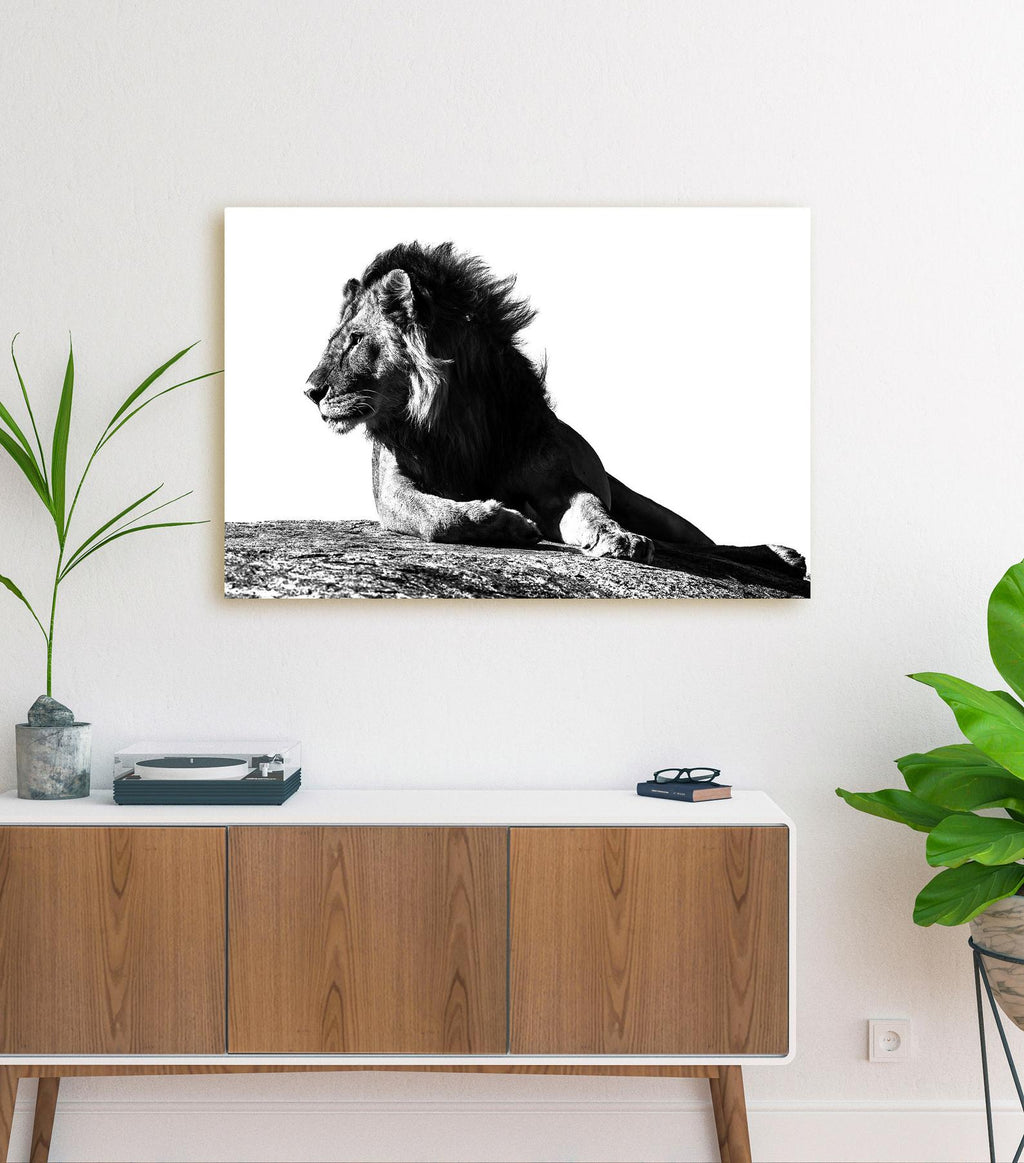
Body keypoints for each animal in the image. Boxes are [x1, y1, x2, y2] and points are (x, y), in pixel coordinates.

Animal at [304, 241, 805, 578]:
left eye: (355, 340)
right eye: (336, 340)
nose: (309, 390)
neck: (454, 421)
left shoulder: (558, 484)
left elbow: (589, 507)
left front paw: (616, 536)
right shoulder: (391, 490)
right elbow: (436, 517)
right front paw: (502, 522)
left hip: (653, 509)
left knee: (702, 544)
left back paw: (781, 555)